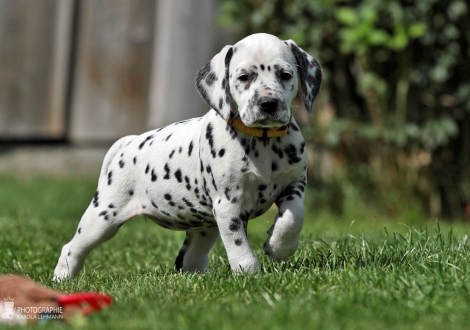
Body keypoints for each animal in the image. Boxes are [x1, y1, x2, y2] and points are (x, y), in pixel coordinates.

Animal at [53, 32, 322, 278]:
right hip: (104, 216)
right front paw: (249, 274)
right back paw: (63, 279)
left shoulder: (295, 184)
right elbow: (238, 245)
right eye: (244, 77)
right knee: (72, 247)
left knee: (189, 259)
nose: (268, 103)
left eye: (285, 75)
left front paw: (279, 246)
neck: (264, 142)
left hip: (205, 226)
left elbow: (294, 216)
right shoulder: (228, 205)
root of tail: (127, 142)